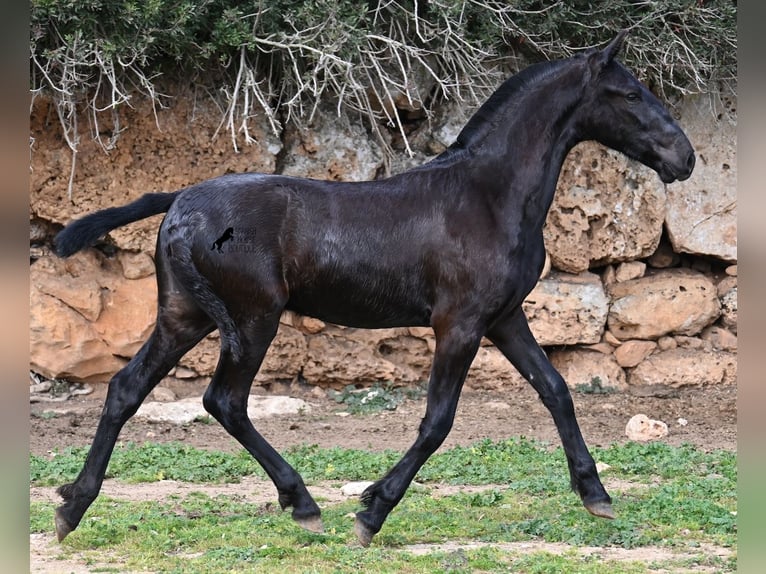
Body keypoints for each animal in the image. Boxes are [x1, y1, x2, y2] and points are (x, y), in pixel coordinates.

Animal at [49, 32, 696, 548]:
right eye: (630, 94)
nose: (685, 157)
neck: (488, 195)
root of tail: (180, 202)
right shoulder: (459, 324)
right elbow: (437, 421)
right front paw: (372, 511)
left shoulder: (505, 318)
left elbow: (557, 390)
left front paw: (596, 495)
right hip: (252, 319)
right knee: (223, 400)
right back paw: (302, 504)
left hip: (185, 316)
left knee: (127, 389)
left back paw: (71, 507)